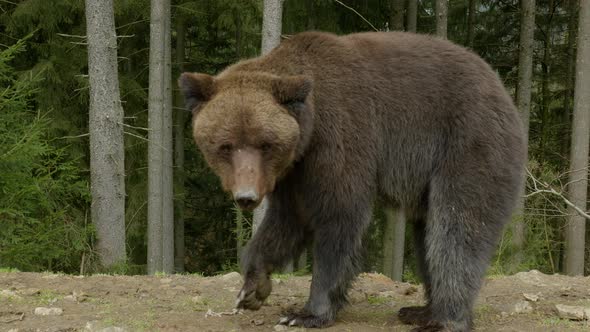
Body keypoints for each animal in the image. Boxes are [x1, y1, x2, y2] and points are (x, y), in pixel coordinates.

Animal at [180, 31, 528, 332]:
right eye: (226, 145)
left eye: (265, 143)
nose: (247, 196)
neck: (309, 129)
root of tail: (503, 91)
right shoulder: (293, 172)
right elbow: (287, 221)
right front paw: (252, 289)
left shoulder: (341, 135)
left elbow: (339, 216)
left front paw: (306, 313)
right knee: (426, 234)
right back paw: (420, 310)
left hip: (467, 144)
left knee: (456, 229)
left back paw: (445, 319)